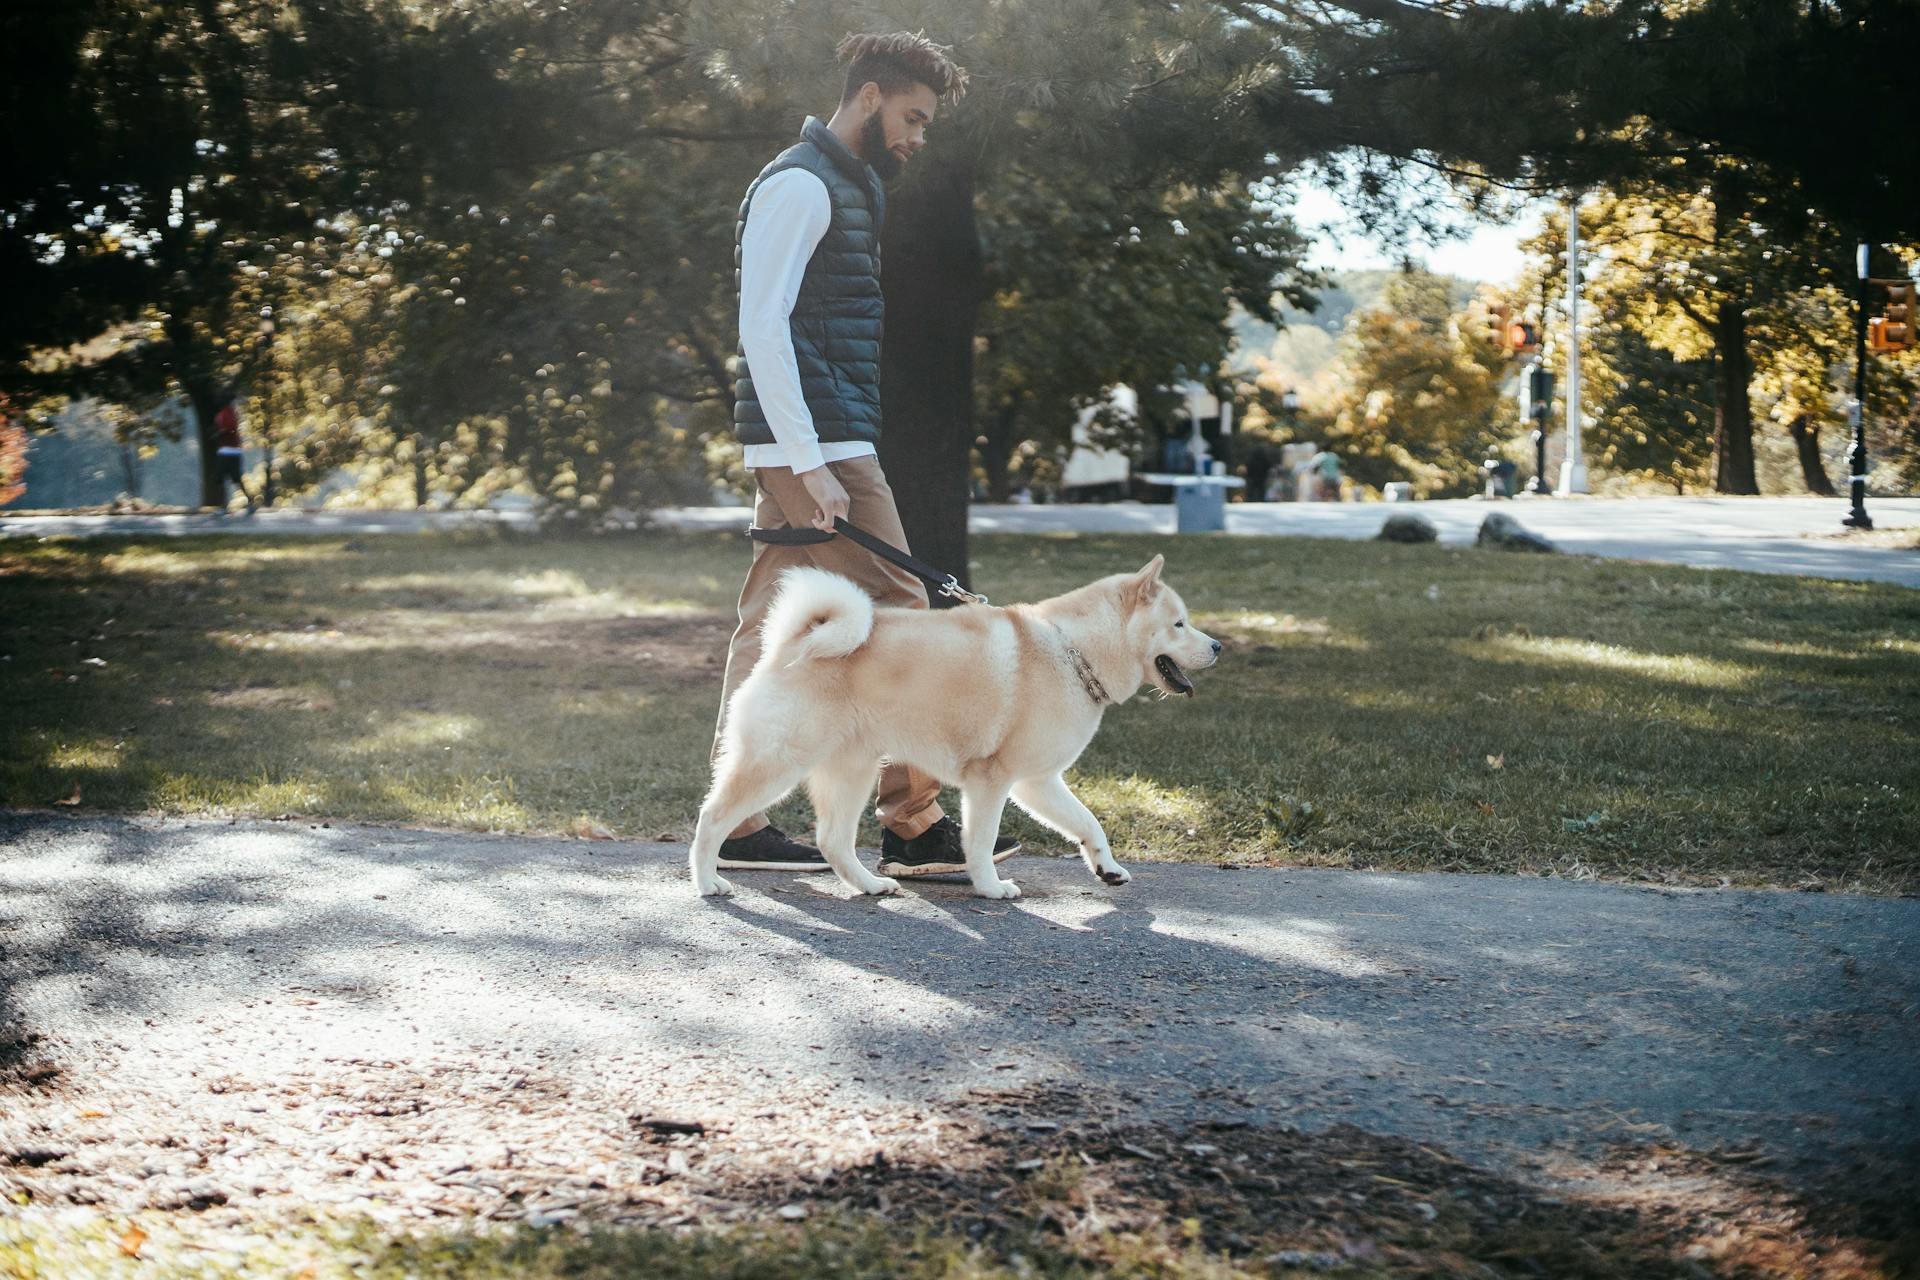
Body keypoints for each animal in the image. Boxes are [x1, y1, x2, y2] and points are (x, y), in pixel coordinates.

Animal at [698, 556, 1221, 901]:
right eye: (1179, 624)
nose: (1216, 646)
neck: (1075, 652)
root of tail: (793, 642)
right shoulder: (992, 780)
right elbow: (983, 842)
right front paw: (990, 887)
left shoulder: (1037, 782)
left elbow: (1089, 822)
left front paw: (1107, 868)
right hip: (778, 764)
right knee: (712, 818)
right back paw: (707, 881)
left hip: (852, 772)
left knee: (832, 840)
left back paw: (869, 884)